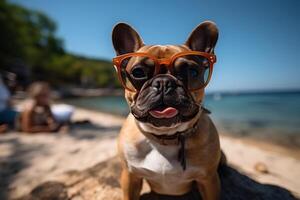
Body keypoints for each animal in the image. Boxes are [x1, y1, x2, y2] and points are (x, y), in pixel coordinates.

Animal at [111, 21, 221, 199]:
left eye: (191, 71)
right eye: (138, 72)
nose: (163, 82)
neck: (165, 137)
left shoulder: (209, 180)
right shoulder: (130, 176)